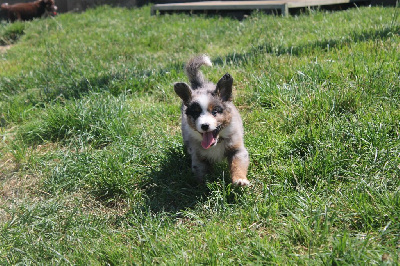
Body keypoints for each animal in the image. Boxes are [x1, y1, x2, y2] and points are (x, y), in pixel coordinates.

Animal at [175, 55, 250, 186]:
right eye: (196, 113)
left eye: (215, 112)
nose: (204, 126)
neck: (216, 143)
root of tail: (199, 85)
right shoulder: (198, 158)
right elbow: (201, 174)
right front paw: (204, 187)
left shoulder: (237, 150)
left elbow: (237, 164)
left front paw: (240, 179)